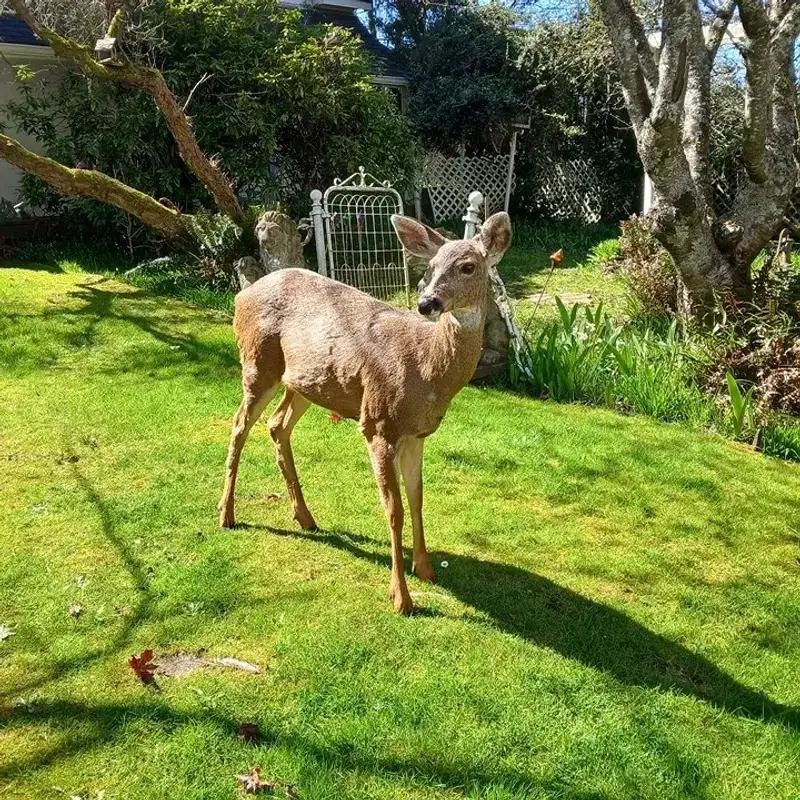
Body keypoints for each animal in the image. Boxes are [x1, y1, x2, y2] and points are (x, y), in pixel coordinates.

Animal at [218, 212, 512, 613]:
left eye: (468, 266)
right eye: (431, 266)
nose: (427, 303)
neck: (427, 370)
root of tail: (240, 295)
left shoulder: (416, 434)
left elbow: (418, 499)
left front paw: (426, 570)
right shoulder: (378, 423)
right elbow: (394, 509)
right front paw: (401, 597)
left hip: (305, 382)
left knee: (277, 425)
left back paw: (305, 517)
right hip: (258, 362)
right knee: (238, 426)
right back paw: (226, 515)